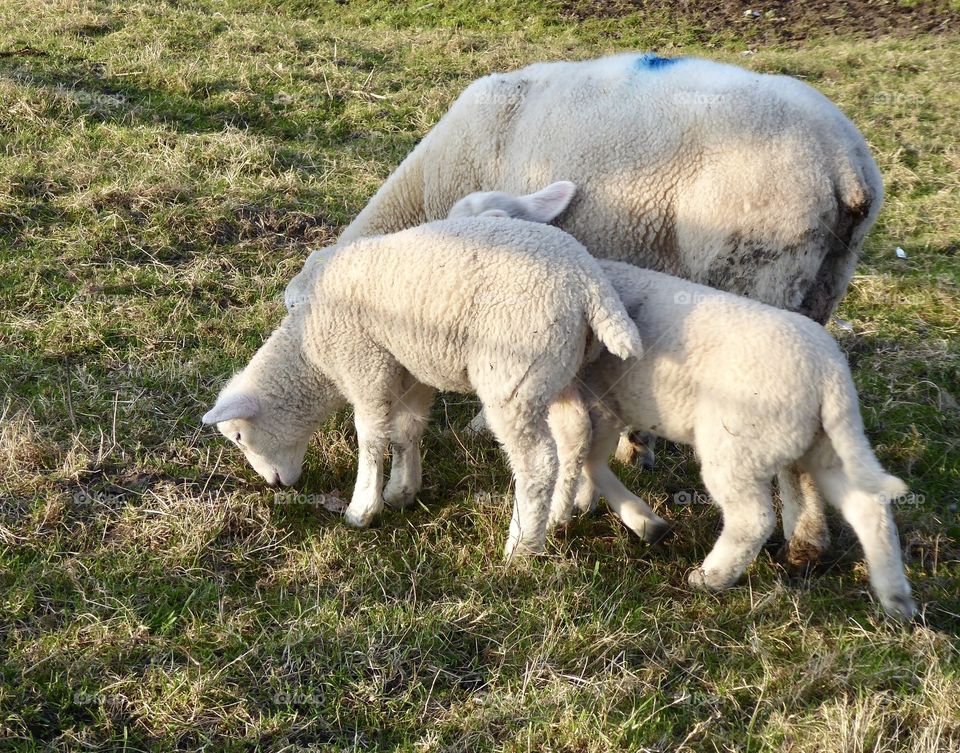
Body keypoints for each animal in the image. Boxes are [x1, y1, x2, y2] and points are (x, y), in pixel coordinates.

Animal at [203, 217, 643, 559]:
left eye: (239, 437)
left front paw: (363, 508)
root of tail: (589, 284)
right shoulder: (408, 368)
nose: (274, 484)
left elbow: (370, 437)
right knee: (576, 435)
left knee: (536, 461)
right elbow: (406, 430)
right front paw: (402, 490)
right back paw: (557, 517)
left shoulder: (365, 364)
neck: (311, 354)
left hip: (513, 374)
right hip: (557, 372)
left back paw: (522, 547)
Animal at [283, 52, 883, 568]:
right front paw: (630, 452)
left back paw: (797, 541)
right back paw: (808, 538)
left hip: (761, 271)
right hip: (826, 280)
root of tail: (847, 166)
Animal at [547, 259, 916, 621]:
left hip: (737, 449)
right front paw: (596, 505)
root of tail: (830, 373)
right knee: (867, 505)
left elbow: (581, 456)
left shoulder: (593, 400)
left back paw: (711, 577)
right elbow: (591, 460)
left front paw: (574, 513)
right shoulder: (605, 404)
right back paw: (895, 598)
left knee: (753, 519)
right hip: (826, 445)